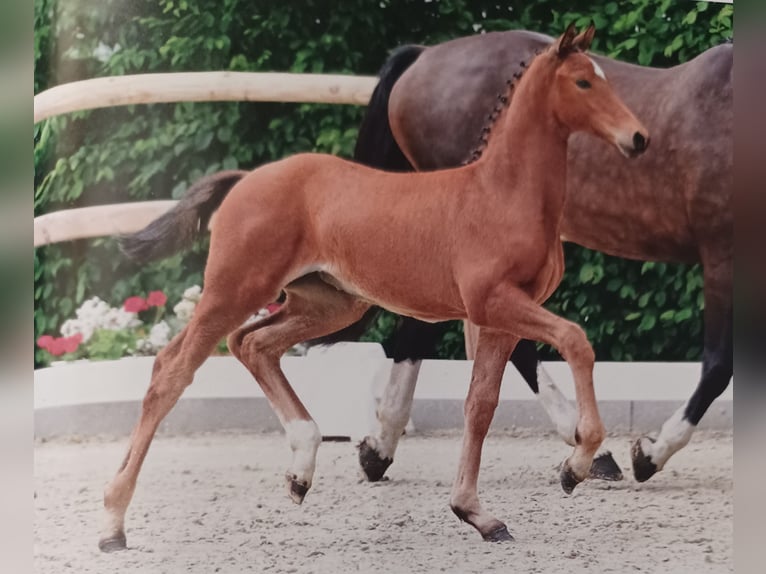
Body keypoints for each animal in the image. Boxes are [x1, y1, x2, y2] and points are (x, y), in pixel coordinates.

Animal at [105, 24, 652, 552]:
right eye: (583, 81)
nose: (639, 138)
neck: (502, 193)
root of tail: (244, 180)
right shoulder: (494, 302)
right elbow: (576, 341)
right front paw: (575, 467)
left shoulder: (496, 318)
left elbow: (480, 406)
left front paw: (478, 514)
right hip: (234, 288)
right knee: (172, 369)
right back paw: (113, 523)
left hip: (327, 304)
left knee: (252, 344)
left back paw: (301, 470)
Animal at [346, 27, 732, 486]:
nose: (638, 138)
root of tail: (424, 55)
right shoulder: (721, 256)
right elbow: (718, 367)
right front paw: (649, 454)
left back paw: (379, 449)